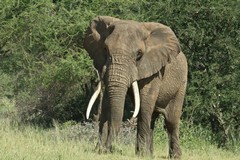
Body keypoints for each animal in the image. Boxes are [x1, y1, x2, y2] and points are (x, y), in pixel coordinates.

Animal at [83, 16, 188, 159]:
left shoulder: (154, 69)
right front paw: (100, 151)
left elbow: (144, 103)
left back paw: (174, 156)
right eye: (105, 49)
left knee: (171, 121)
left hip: (181, 84)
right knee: (152, 118)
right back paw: (149, 155)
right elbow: (106, 103)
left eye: (139, 54)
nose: (112, 148)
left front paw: (140, 155)